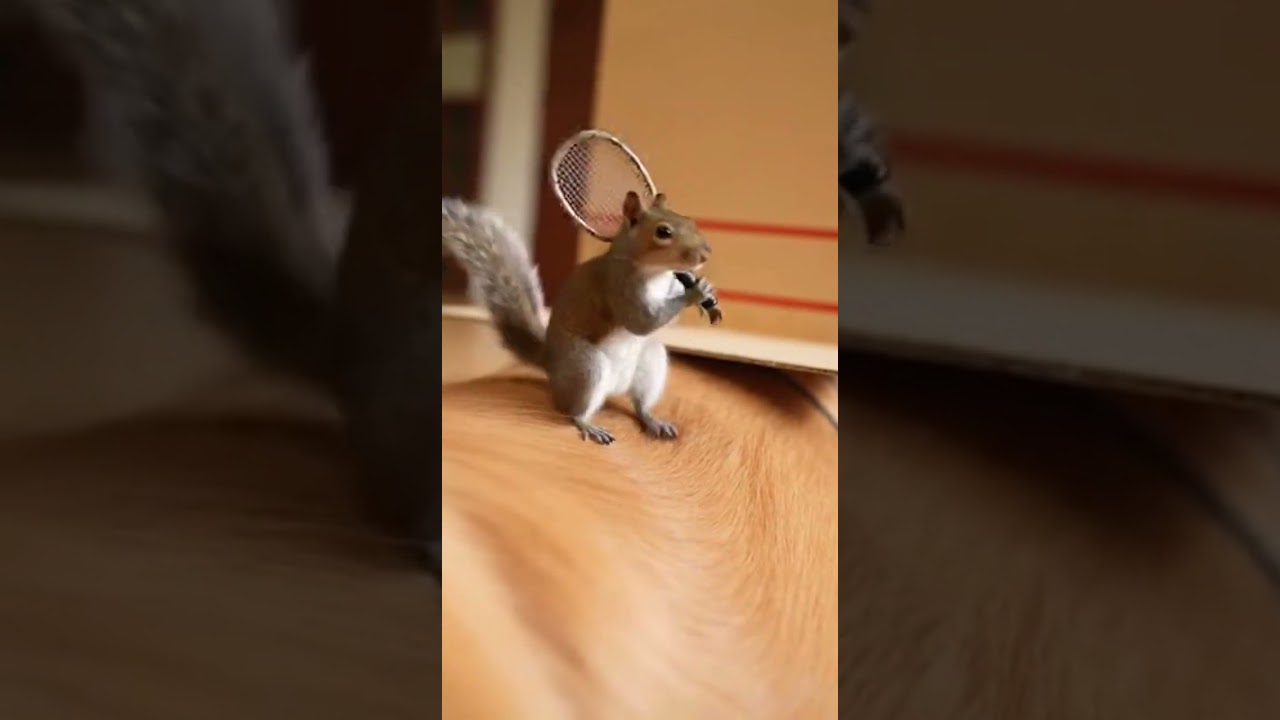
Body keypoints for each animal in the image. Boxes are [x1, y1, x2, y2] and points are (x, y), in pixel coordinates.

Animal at [443, 191, 717, 445]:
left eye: (690, 220)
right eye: (663, 232)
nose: (706, 254)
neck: (656, 272)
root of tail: (550, 363)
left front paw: (705, 292)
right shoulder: (618, 287)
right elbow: (641, 322)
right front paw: (695, 293)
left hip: (651, 362)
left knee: (640, 403)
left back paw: (653, 420)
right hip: (586, 367)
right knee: (574, 411)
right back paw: (588, 425)